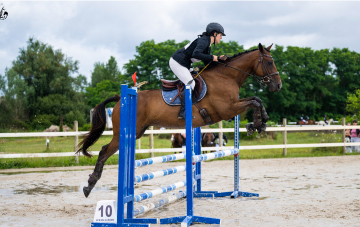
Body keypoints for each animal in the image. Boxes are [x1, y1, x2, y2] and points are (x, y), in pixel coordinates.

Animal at [77, 43, 282, 198]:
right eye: (270, 62)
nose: (278, 85)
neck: (225, 77)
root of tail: (121, 98)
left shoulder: (233, 107)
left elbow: (256, 100)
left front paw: (259, 123)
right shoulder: (227, 110)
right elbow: (254, 101)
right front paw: (257, 124)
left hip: (136, 132)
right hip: (125, 133)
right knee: (104, 151)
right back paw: (89, 185)